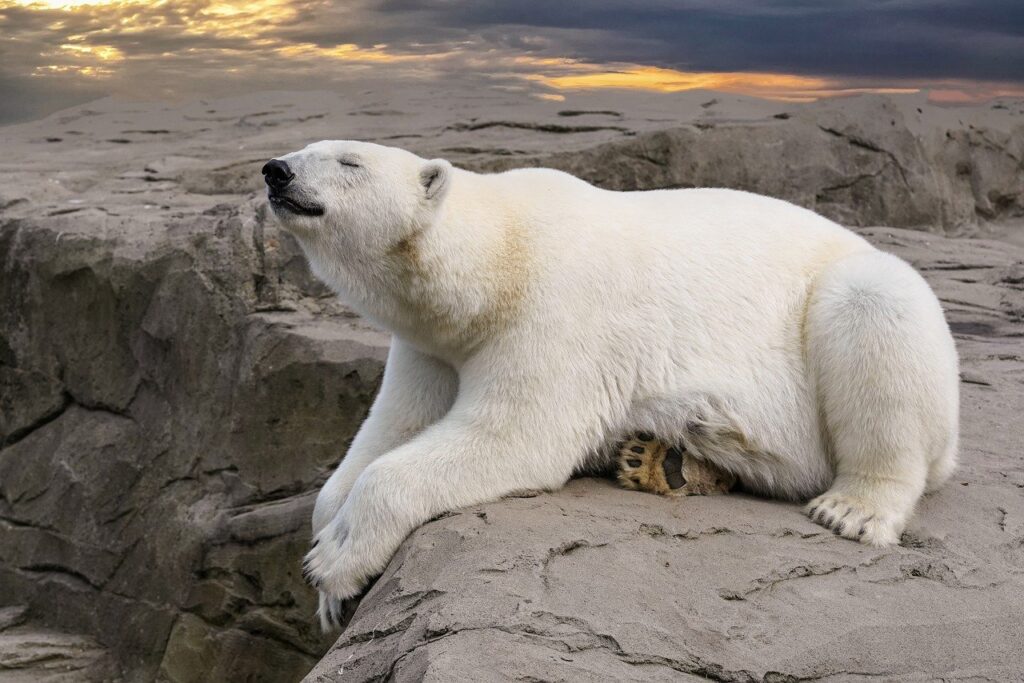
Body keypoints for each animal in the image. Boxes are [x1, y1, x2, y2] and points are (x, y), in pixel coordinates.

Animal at [262, 140, 958, 630]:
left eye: (349, 161)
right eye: (309, 147)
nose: (276, 171)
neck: (497, 258)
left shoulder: (558, 307)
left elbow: (514, 436)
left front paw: (335, 561)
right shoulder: (431, 344)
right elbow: (392, 427)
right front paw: (330, 575)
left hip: (853, 311)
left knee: (873, 310)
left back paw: (853, 507)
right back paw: (663, 458)